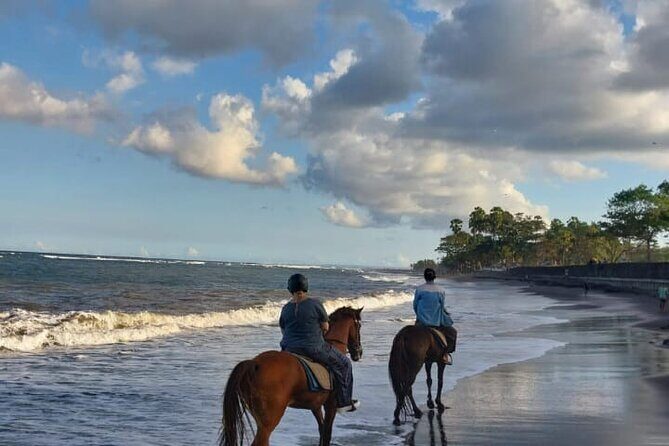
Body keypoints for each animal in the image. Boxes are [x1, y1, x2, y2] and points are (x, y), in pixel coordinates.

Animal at [219, 306, 363, 446]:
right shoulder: (330, 406)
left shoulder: (316, 406)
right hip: (269, 420)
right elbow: (327, 434)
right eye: (359, 326)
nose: (359, 352)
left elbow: (321, 430)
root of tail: (254, 363)